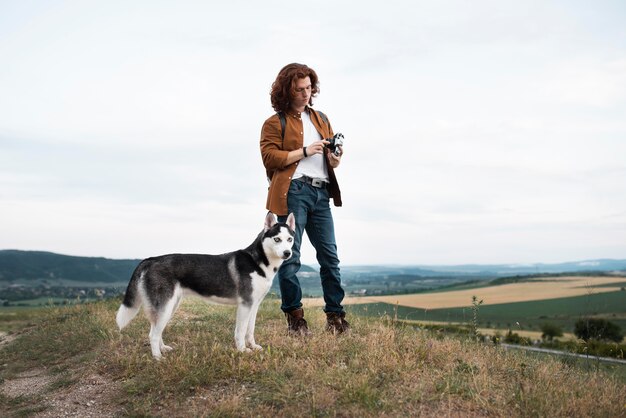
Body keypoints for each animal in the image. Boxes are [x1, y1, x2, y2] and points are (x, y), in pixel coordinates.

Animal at [115, 214, 294, 358]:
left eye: (289, 239)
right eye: (277, 239)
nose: (288, 253)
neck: (258, 262)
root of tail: (150, 259)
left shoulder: (254, 305)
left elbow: (250, 330)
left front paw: (253, 346)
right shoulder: (245, 304)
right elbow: (240, 331)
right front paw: (242, 350)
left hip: (170, 306)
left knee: (155, 331)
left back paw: (163, 349)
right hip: (165, 306)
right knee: (153, 334)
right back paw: (158, 358)